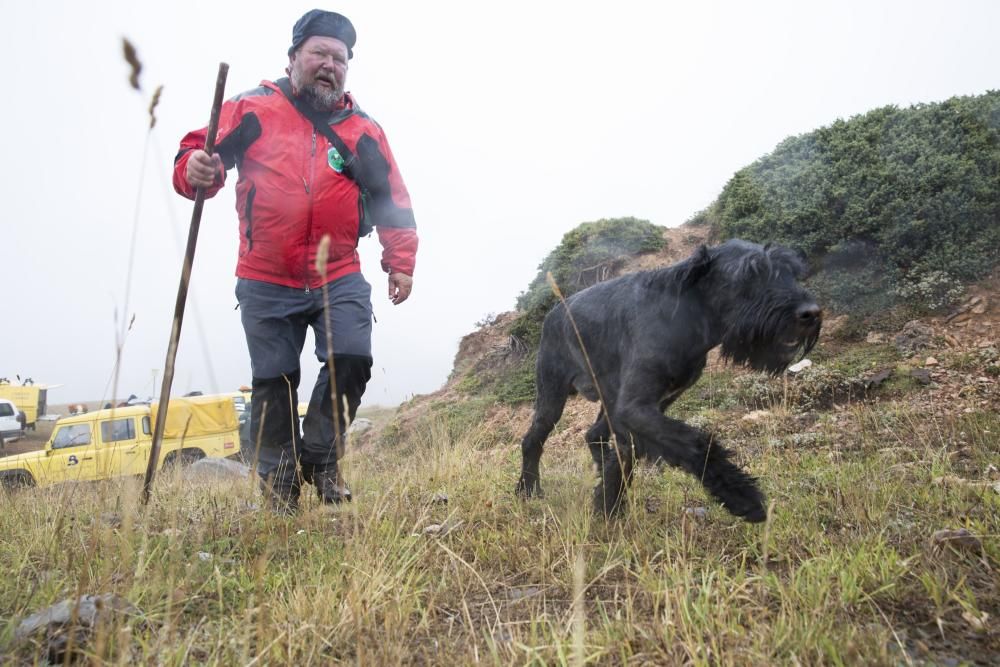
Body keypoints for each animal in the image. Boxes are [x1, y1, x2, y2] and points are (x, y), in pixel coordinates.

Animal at [516, 239, 820, 520]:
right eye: (750, 274)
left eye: (790, 271)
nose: (811, 312)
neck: (684, 318)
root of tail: (551, 314)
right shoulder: (634, 409)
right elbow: (695, 443)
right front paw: (743, 497)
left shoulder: (647, 408)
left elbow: (625, 458)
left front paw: (607, 505)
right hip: (552, 397)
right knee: (532, 441)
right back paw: (528, 489)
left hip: (606, 402)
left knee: (593, 435)